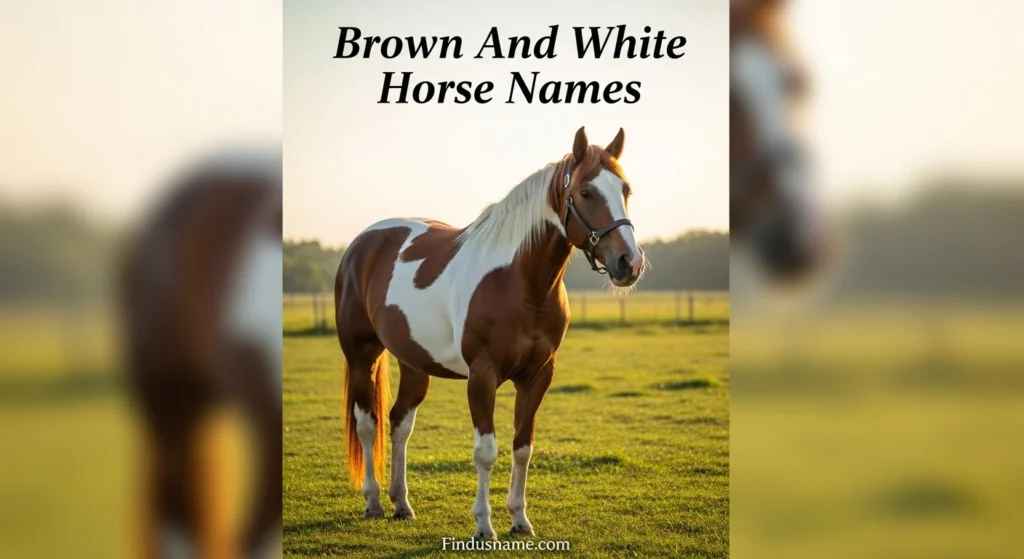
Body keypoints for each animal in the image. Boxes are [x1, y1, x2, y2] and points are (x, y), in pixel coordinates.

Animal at [334, 126, 645, 539]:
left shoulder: (538, 375)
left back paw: (401, 504)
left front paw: (520, 519)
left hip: (414, 362)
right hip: (361, 356)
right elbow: (486, 451)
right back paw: (372, 502)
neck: (520, 282)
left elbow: (522, 447)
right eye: (586, 192)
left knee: (400, 424)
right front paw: (484, 525)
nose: (630, 263)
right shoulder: (481, 376)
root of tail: (361, 243)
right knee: (367, 425)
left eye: (624, 189)